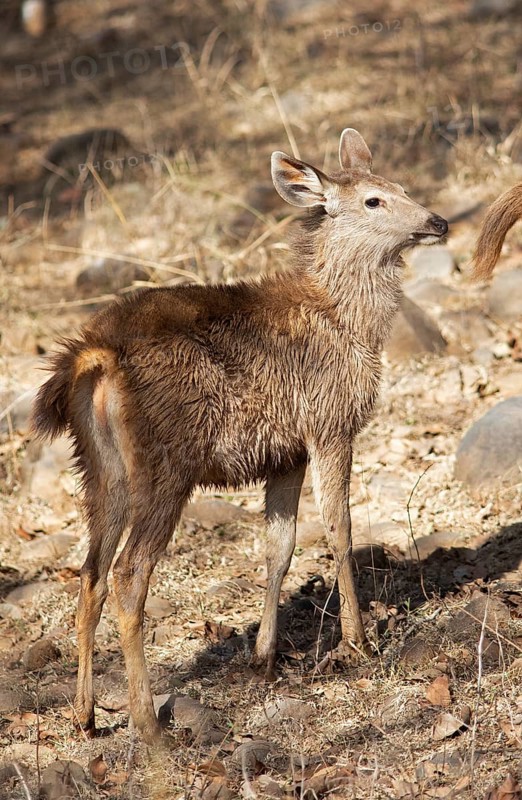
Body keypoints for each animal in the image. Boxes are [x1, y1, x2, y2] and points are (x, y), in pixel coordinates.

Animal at [32, 128, 448, 744]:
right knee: (129, 575)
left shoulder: (285, 452)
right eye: (374, 200)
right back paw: (147, 722)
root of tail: (93, 356)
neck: (347, 321)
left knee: (90, 574)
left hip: (98, 468)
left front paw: (264, 655)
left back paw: (85, 715)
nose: (438, 221)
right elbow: (340, 528)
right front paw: (358, 643)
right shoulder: (328, 421)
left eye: (402, 186)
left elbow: (280, 546)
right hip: (164, 464)